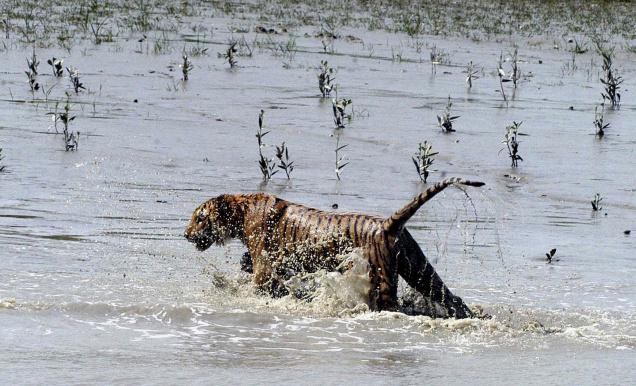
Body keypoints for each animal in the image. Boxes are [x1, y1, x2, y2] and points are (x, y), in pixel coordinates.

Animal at [184, 176, 482, 318]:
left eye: (199, 218)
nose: (185, 234)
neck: (242, 211)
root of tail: (388, 223)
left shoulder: (264, 268)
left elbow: (255, 284)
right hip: (420, 269)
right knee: (453, 298)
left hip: (385, 279)